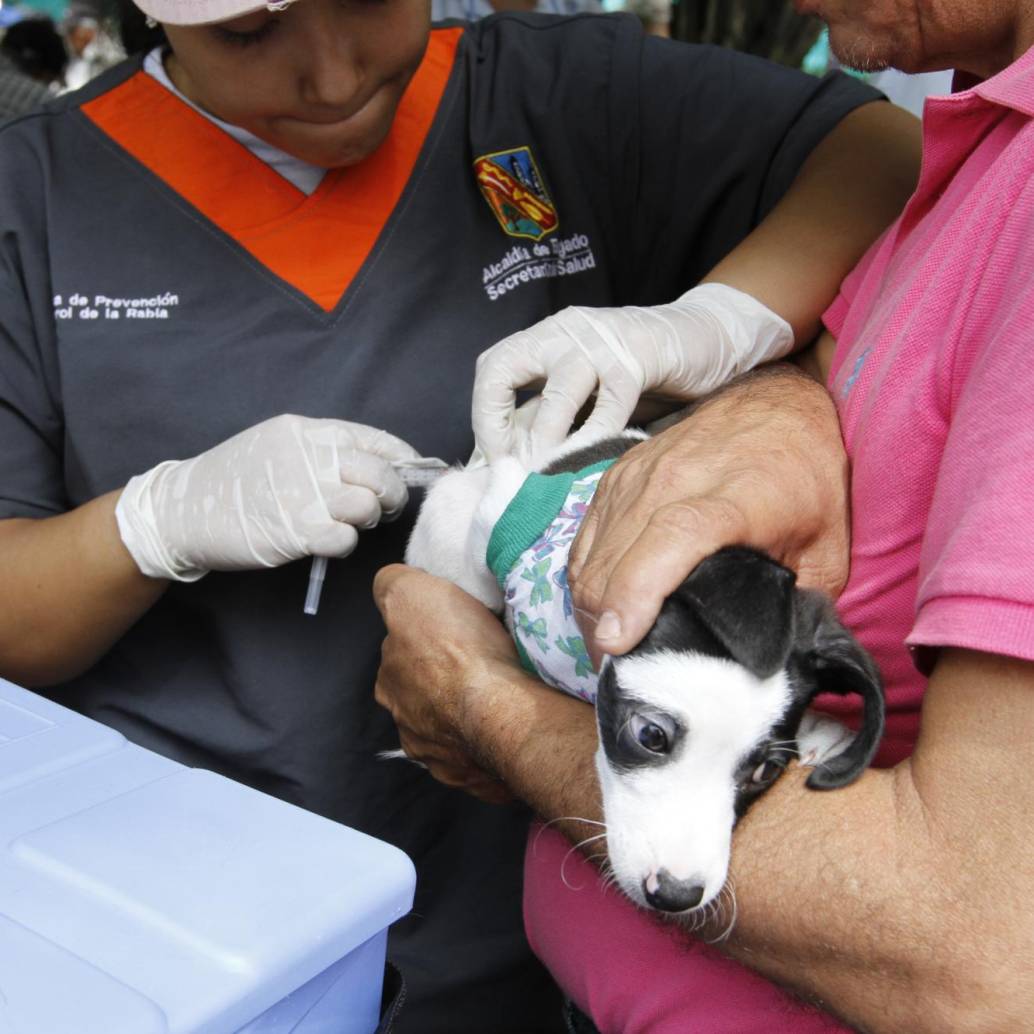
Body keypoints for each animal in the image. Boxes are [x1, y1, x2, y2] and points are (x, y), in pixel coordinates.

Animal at [401, 428, 880, 914]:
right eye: (651, 735)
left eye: (765, 771)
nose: (675, 894)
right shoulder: (498, 508)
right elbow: (487, 530)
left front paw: (821, 727)